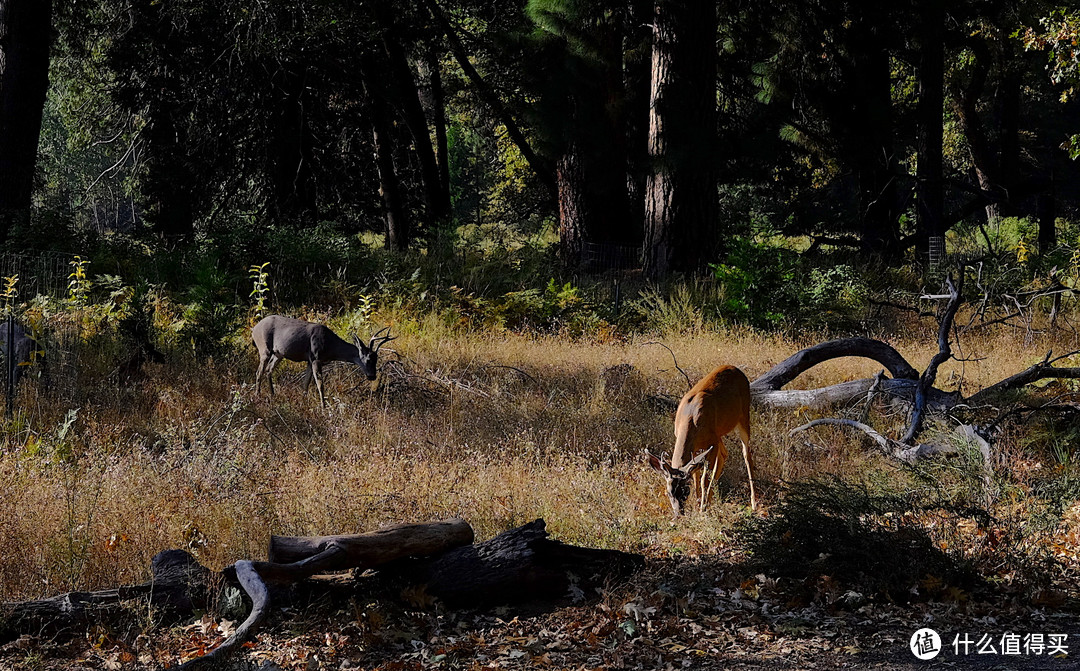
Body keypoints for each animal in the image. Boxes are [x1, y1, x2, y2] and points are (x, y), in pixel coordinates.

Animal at [250, 313, 395, 401]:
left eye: (377, 360)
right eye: (369, 359)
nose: (372, 376)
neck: (331, 347)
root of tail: (254, 329)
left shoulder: (310, 361)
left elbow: (305, 384)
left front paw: (304, 401)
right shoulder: (315, 358)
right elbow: (320, 385)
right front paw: (323, 407)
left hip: (278, 353)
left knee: (269, 369)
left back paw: (272, 394)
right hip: (264, 349)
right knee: (259, 372)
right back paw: (257, 395)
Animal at [648, 367, 760, 512]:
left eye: (686, 491)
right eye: (669, 492)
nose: (679, 513)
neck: (690, 419)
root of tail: (735, 368)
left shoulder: (711, 443)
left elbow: (703, 480)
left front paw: (702, 508)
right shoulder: (697, 446)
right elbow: (696, 476)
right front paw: (698, 504)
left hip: (743, 417)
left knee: (746, 454)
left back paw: (753, 503)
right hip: (719, 433)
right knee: (724, 453)